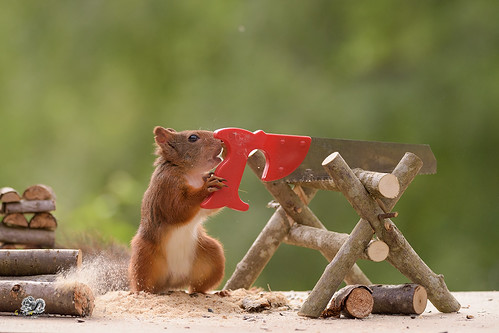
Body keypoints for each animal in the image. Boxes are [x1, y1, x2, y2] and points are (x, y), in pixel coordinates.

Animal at [131, 126, 229, 292]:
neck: (191, 174)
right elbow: (177, 209)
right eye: (193, 138)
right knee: (143, 283)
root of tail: (173, 281)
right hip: (144, 255)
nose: (221, 140)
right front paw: (206, 188)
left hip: (211, 254)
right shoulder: (167, 185)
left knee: (197, 285)